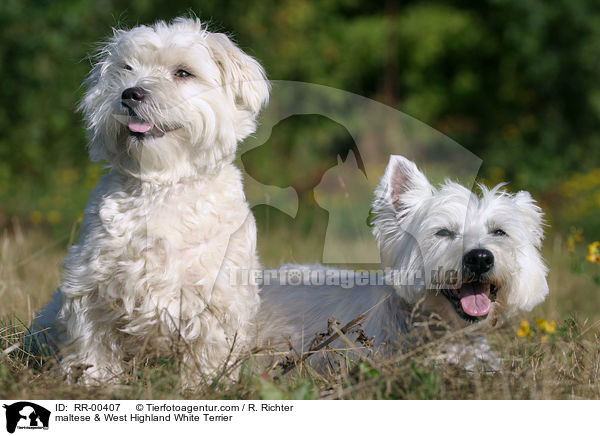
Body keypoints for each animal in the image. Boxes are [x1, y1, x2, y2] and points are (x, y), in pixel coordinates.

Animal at [29, 17, 270, 384]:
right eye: (126, 69)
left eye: (183, 73)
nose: (131, 92)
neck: (161, 184)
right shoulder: (90, 288)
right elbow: (91, 345)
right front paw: (94, 383)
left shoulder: (216, 297)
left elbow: (208, 354)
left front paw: (201, 386)